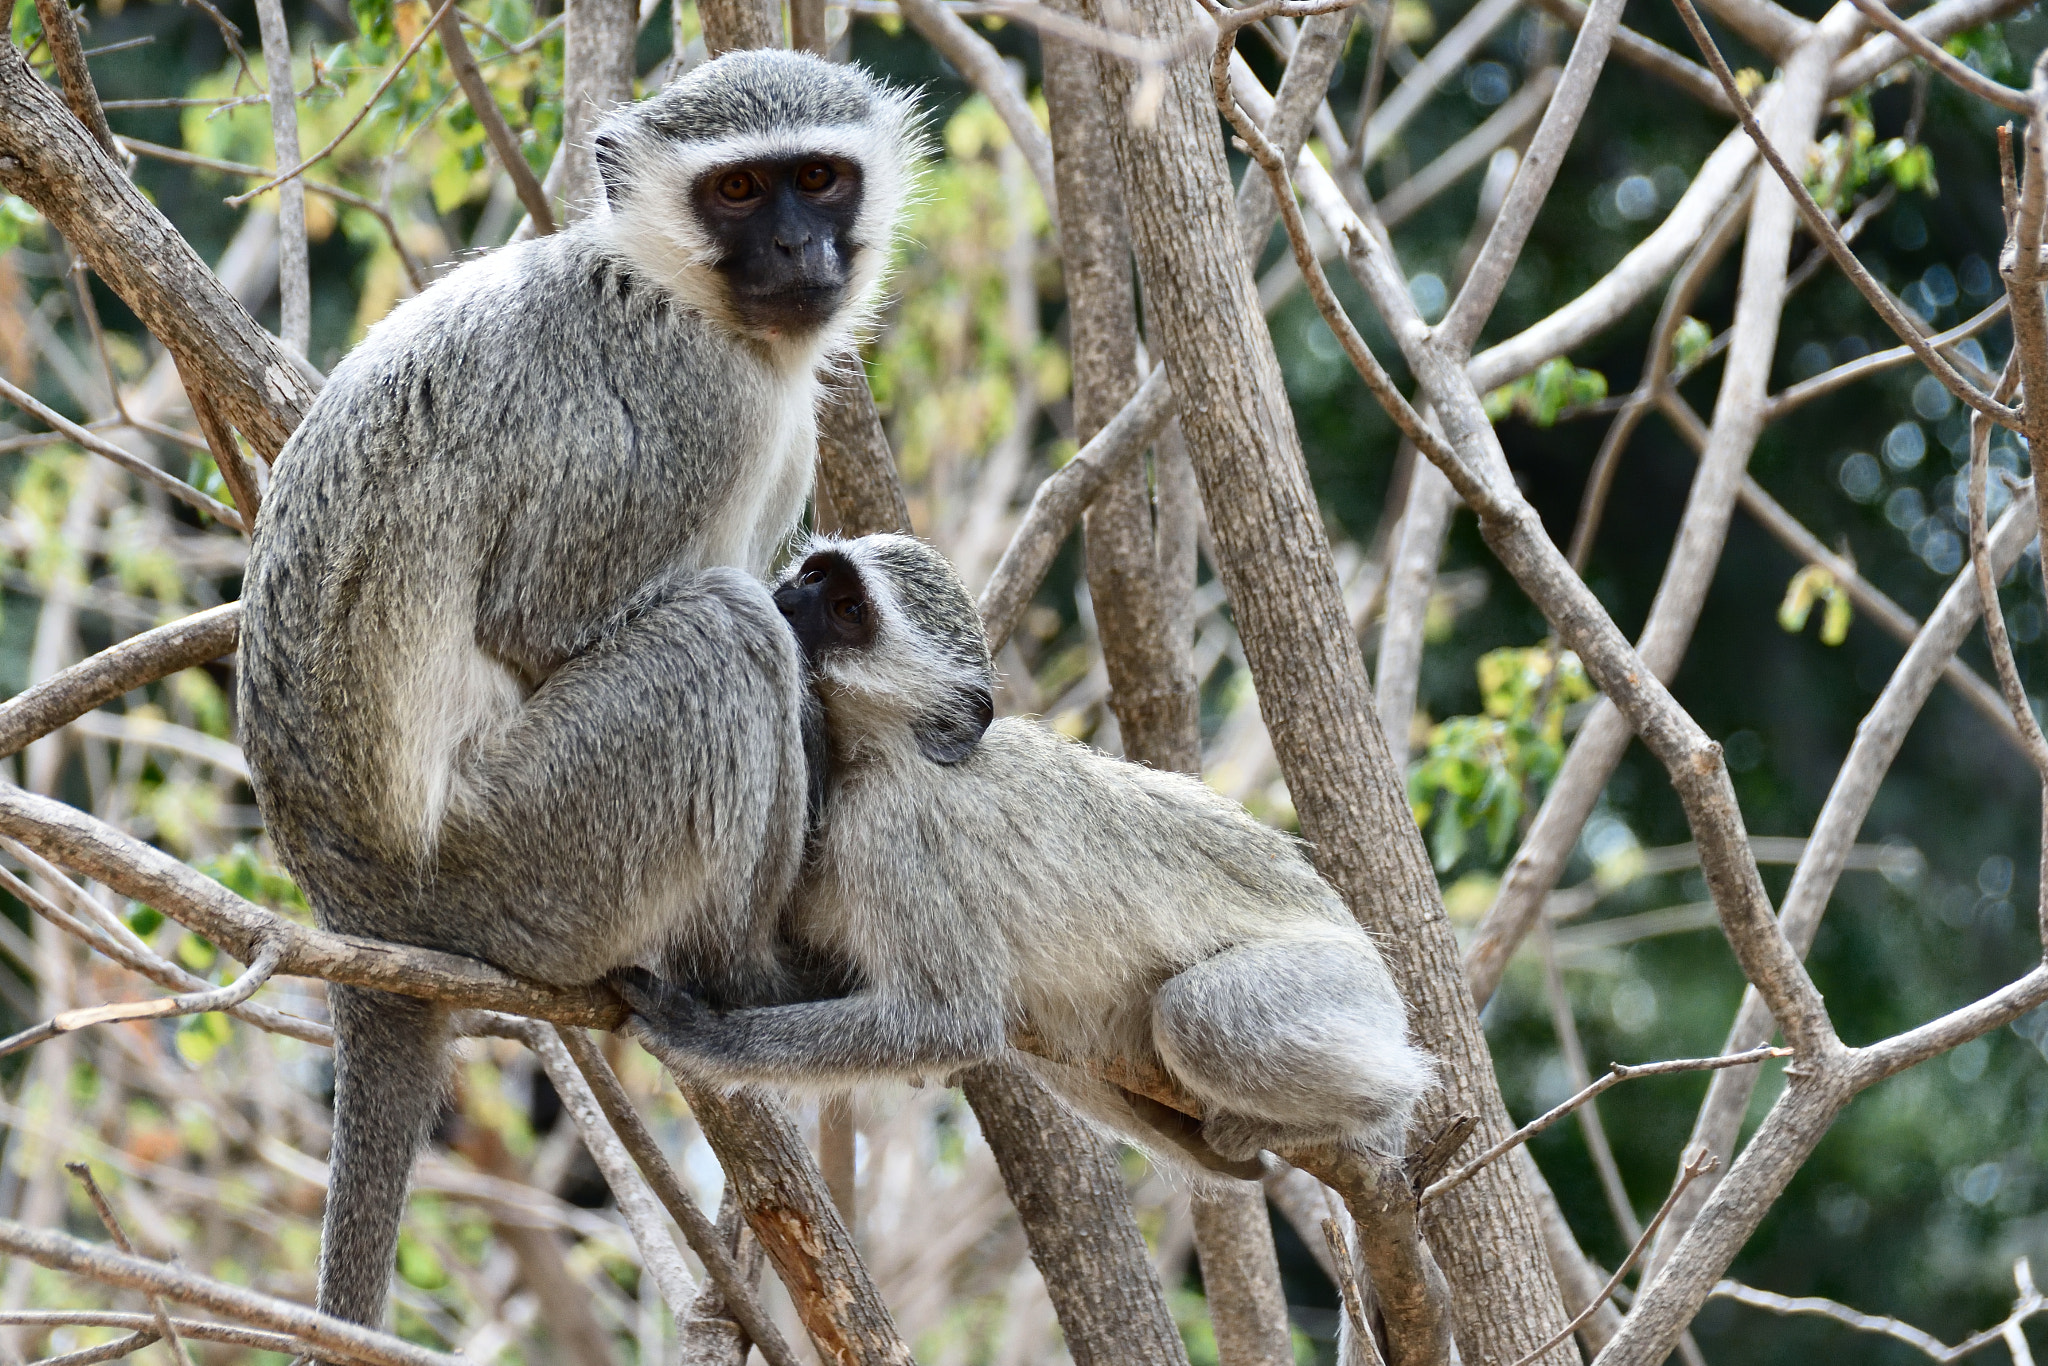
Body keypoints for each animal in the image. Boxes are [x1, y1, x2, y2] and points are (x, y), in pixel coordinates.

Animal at [622, 532, 1441, 1179]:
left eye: (849, 611)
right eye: (816, 576)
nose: (785, 599)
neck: (875, 753)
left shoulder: (889, 829)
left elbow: (946, 1022)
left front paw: (704, 1036)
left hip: (1332, 984)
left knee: (1203, 1015)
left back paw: (1367, 1108)